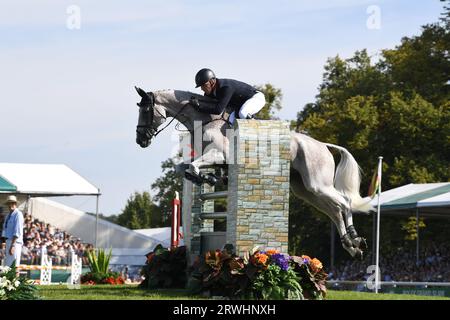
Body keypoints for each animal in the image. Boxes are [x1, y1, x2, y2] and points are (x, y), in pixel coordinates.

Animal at [135, 87, 374, 260]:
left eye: (145, 111)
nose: (141, 140)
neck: (204, 120)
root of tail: (323, 145)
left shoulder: (219, 154)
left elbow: (193, 166)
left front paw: (208, 177)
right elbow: (186, 168)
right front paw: (210, 177)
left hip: (318, 184)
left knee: (344, 203)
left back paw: (355, 239)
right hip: (306, 190)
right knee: (334, 211)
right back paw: (352, 247)